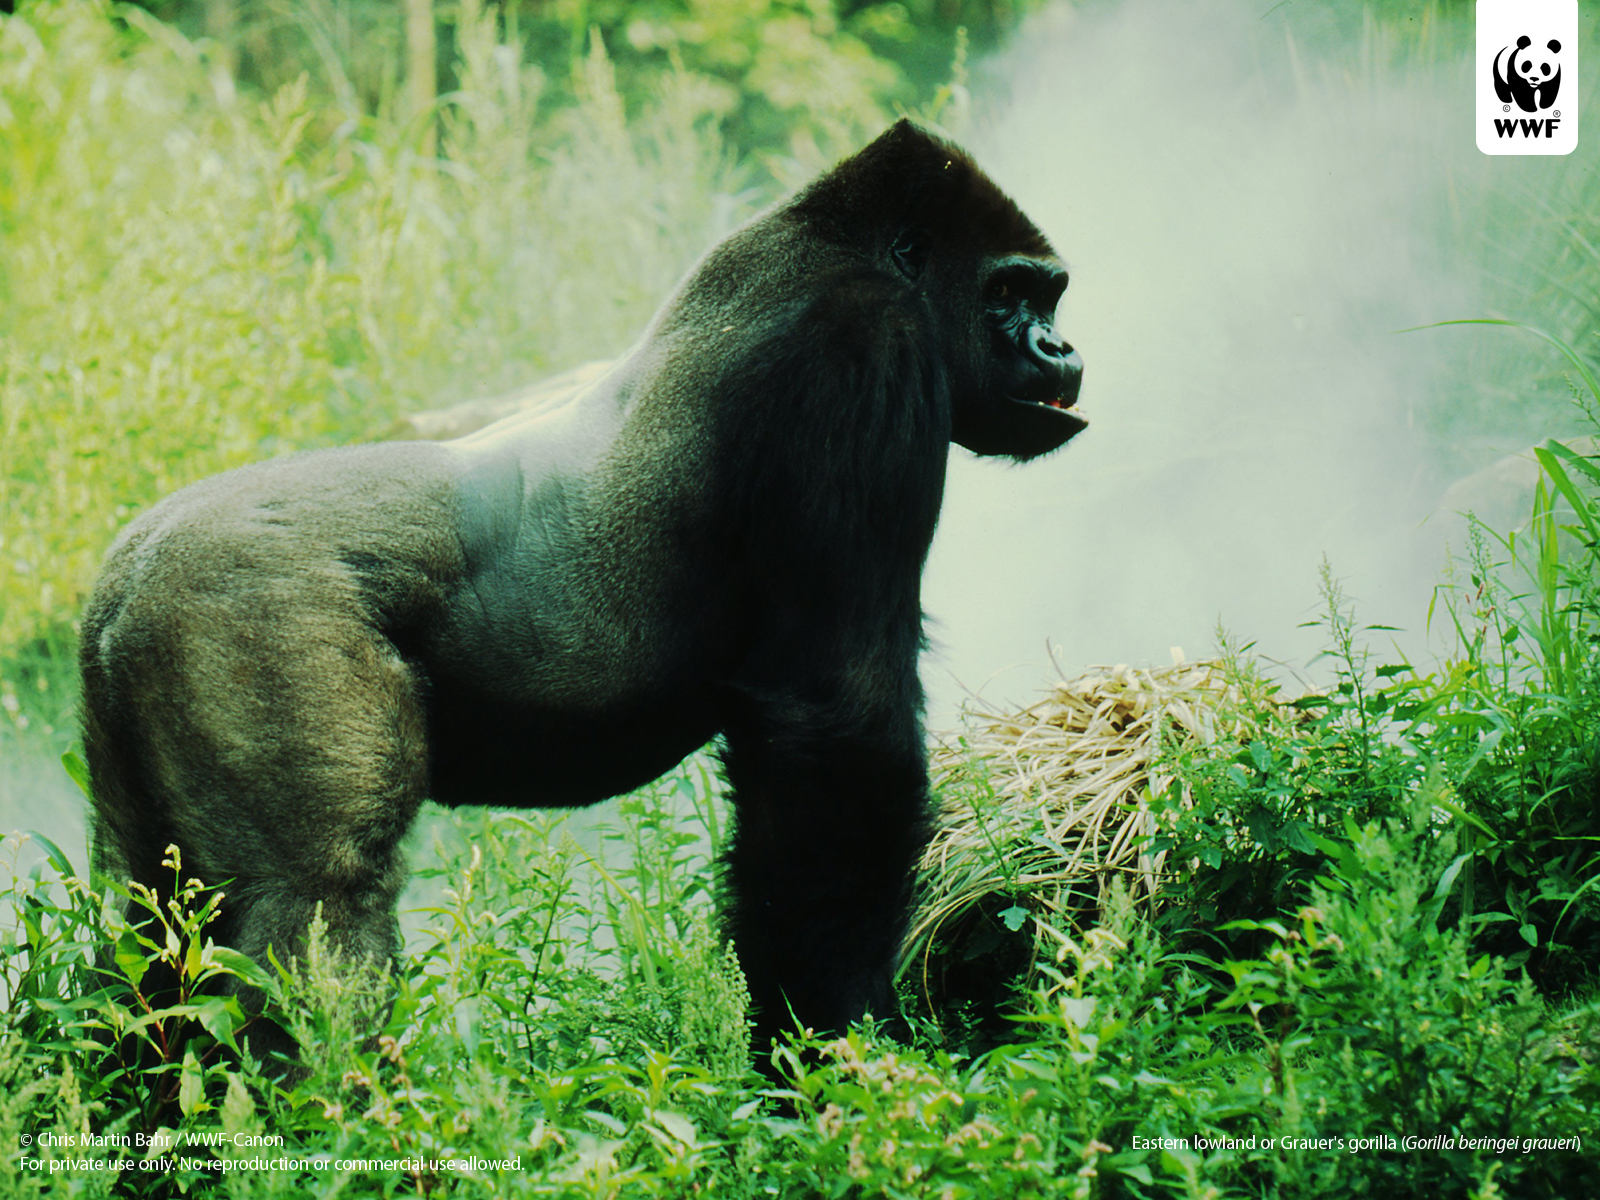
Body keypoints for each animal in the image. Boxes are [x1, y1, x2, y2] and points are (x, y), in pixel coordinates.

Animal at [79, 118, 1086, 1061]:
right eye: (1010, 293)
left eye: (1048, 297)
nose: (1063, 349)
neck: (837, 245)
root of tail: (121, 582)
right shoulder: (864, 347)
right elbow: (837, 728)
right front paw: (834, 1048)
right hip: (249, 613)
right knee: (312, 909)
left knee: (152, 934)